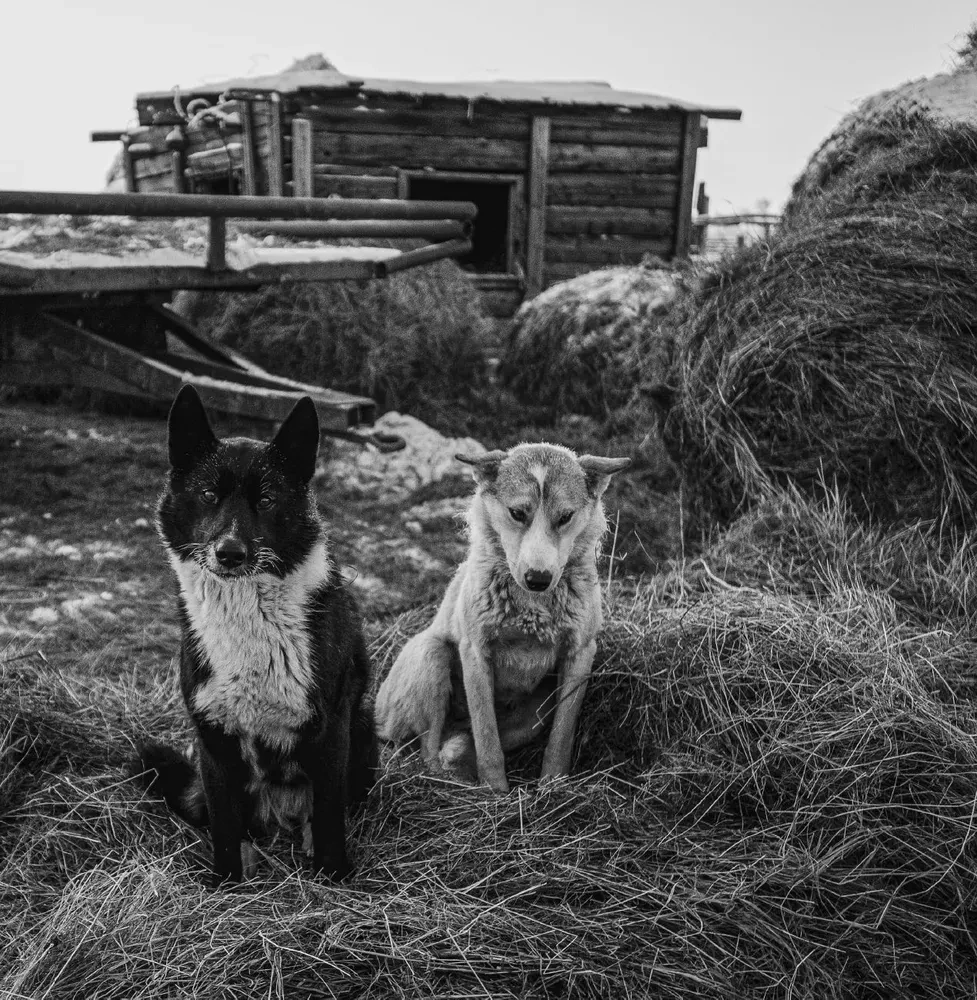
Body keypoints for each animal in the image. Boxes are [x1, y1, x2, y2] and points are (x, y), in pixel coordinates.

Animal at [131, 384, 374, 884]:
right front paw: (227, 881)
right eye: (208, 494)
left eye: (266, 500)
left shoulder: (332, 731)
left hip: (363, 739)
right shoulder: (213, 739)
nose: (229, 554)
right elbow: (225, 826)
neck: (249, 612)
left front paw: (333, 873)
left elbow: (329, 815)